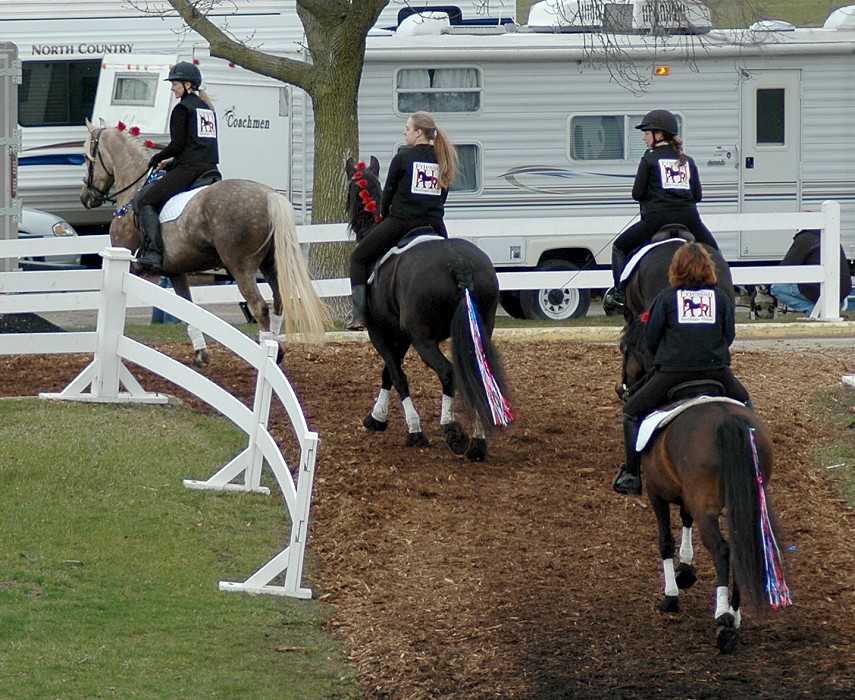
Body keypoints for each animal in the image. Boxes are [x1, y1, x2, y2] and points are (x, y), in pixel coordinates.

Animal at [80, 120, 330, 366]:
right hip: (270, 264)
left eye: (87, 157)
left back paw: (267, 355)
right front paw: (201, 353)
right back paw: (275, 350)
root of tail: (269, 195)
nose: (86, 197)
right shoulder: (176, 271)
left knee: (259, 306)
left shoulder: (130, 265)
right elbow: (186, 307)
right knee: (278, 301)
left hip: (242, 267)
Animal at [344, 157, 512, 462]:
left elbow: (396, 375)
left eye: (350, 189)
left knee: (448, 373)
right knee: (479, 377)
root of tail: (459, 261)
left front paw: (413, 429)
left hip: (423, 339)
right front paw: (377, 417)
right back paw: (478, 443)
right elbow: (389, 373)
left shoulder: (380, 333)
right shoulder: (401, 336)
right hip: (477, 331)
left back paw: (452, 429)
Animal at [620, 320, 792, 652]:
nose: (622, 388)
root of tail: (729, 420)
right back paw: (734, 617)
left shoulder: (658, 493)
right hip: (742, 501)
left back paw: (723, 617)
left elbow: (665, 541)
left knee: (722, 549)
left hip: (706, 504)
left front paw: (671, 595)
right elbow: (685, 520)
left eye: (625, 349)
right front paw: (686, 570)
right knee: (740, 547)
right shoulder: (687, 494)